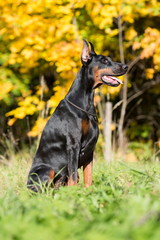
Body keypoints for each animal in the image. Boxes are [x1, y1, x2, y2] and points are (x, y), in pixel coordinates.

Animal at [27, 39, 127, 191]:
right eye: (104, 61)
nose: (126, 66)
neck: (85, 104)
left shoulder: (90, 150)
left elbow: (88, 177)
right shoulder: (73, 145)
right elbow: (73, 176)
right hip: (46, 170)